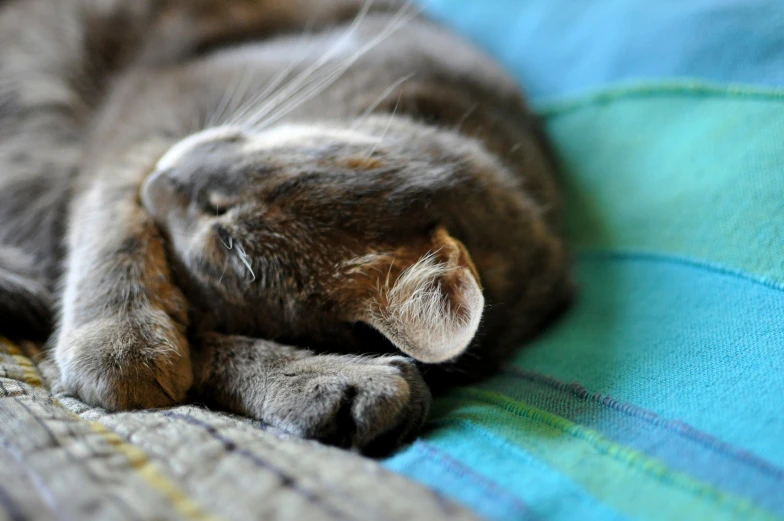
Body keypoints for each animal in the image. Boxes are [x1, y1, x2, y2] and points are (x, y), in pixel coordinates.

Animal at [0, 0, 572, 450]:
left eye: (227, 243)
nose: (164, 181)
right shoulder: (150, 112)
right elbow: (113, 207)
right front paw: (121, 339)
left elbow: (203, 338)